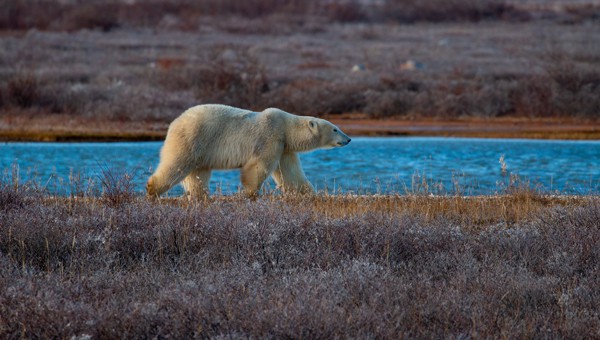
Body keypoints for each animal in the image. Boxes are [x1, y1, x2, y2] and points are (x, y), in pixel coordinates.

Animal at [146, 103, 352, 197]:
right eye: (335, 128)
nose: (349, 139)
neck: (285, 127)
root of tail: (174, 123)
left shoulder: (284, 147)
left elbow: (291, 173)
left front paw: (308, 193)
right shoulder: (270, 136)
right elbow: (259, 166)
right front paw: (251, 192)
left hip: (200, 151)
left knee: (198, 174)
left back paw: (201, 195)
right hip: (192, 139)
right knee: (177, 165)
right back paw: (152, 189)